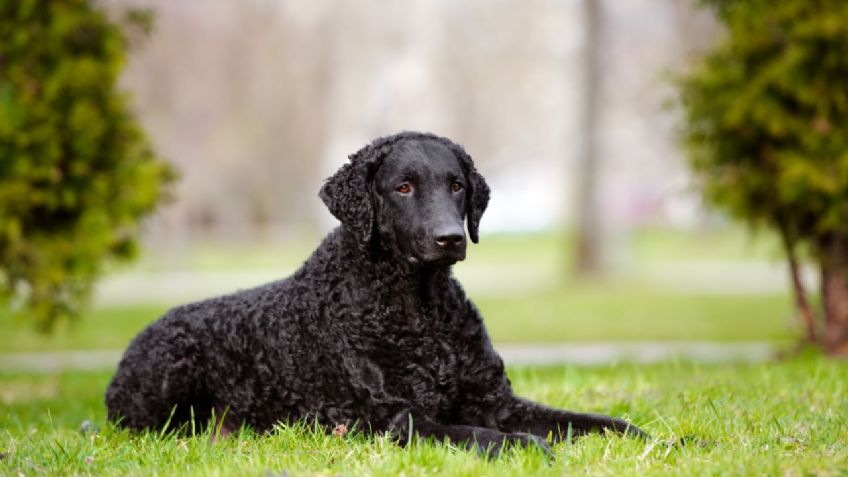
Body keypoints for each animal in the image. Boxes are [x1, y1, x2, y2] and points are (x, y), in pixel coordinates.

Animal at [109, 131, 644, 454]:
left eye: (456, 185)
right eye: (403, 187)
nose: (450, 237)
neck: (420, 309)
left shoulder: (500, 402)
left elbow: (592, 421)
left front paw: (651, 438)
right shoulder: (396, 419)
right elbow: (479, 433)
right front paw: (530, 448)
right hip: (168, 374)